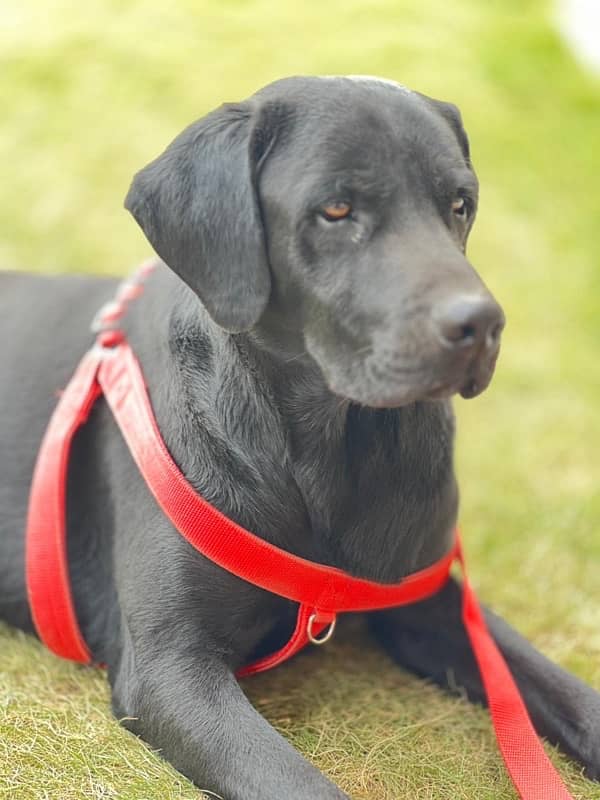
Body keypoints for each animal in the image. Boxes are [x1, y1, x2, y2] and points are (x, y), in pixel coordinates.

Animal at [1, 76, 600, 800]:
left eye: (460, 204)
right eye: (336, 209)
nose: (482, 324)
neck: (328, 455)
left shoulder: (430, 601)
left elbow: (563, 689)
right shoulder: (173, 668)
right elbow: (301, 783)